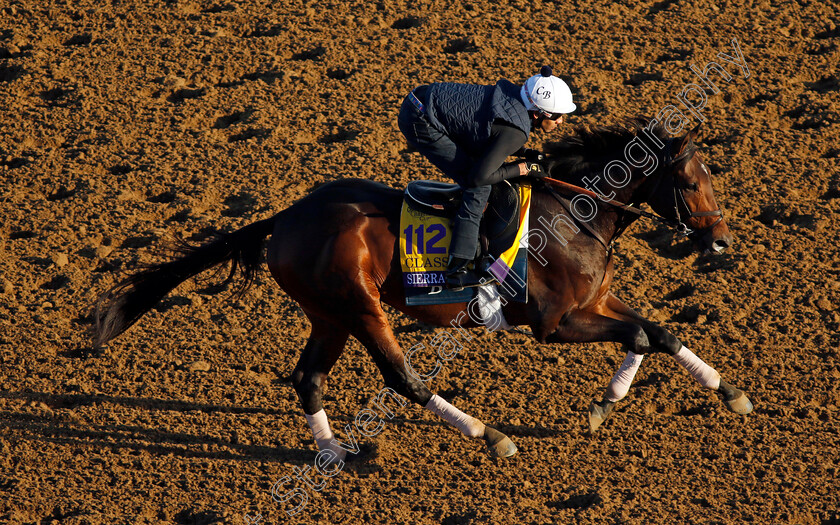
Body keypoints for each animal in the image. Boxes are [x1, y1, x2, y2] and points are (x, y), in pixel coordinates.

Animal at [93, 117, 756, 462]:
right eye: (690, 181)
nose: (722, 241)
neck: (575, 210)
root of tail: (286, 217)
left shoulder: (592, 302)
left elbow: (658, 332)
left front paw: (725, 393)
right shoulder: (556, 324)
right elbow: (641, 335)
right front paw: (603, 405)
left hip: (328, 314)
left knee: (309, 377)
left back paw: (333, 455)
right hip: (360, 305)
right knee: (402, 377)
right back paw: (490, 436)